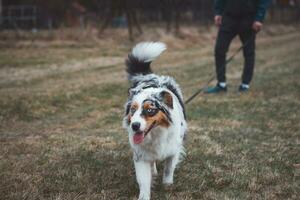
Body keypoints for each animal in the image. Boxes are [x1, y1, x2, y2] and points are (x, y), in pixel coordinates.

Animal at [122, 41, 188, 199]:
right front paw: (144, 195)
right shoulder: (140, 155)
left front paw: (167, 186)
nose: (134, 126)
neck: (156, 134)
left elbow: (169, 170)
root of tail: (147, 75)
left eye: (150, 110)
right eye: (133, 110)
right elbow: (143, 180)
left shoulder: (173, 149)